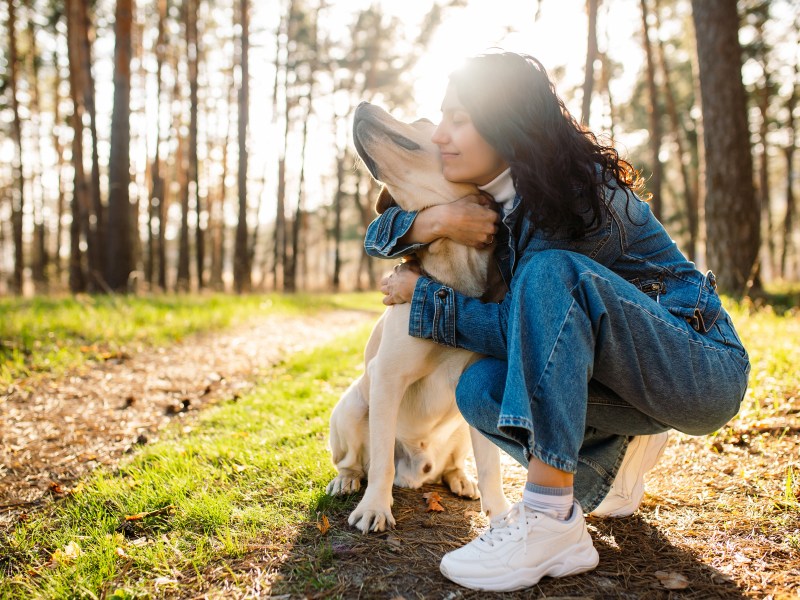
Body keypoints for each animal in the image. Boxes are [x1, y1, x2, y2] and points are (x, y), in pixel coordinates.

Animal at [326, 101, 510, 532]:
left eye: (424, 120)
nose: (361, 103)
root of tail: (418, 470)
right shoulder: (387, 376)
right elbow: (381, 463)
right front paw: (376, 507)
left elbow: (492, 465)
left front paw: (502, 515)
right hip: (353, 405)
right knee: (357, 461)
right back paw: (347, 480)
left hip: (458, 426)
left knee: (455, 462)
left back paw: (461, 478)